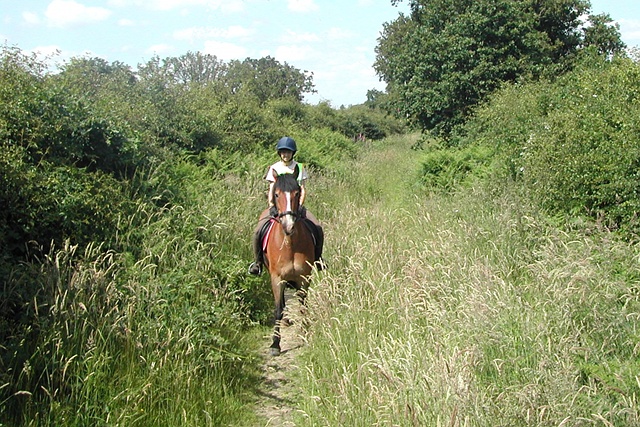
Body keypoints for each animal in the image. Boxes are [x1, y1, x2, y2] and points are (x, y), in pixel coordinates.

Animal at [262, 172, 318, 356]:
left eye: (297, 193)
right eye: (276, 194)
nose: (289, 225)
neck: (290, 244)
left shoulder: (304, 277)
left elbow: (303, 306)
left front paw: (305, 333)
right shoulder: (277, 278)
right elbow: (278, 309)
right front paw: (275, 344)